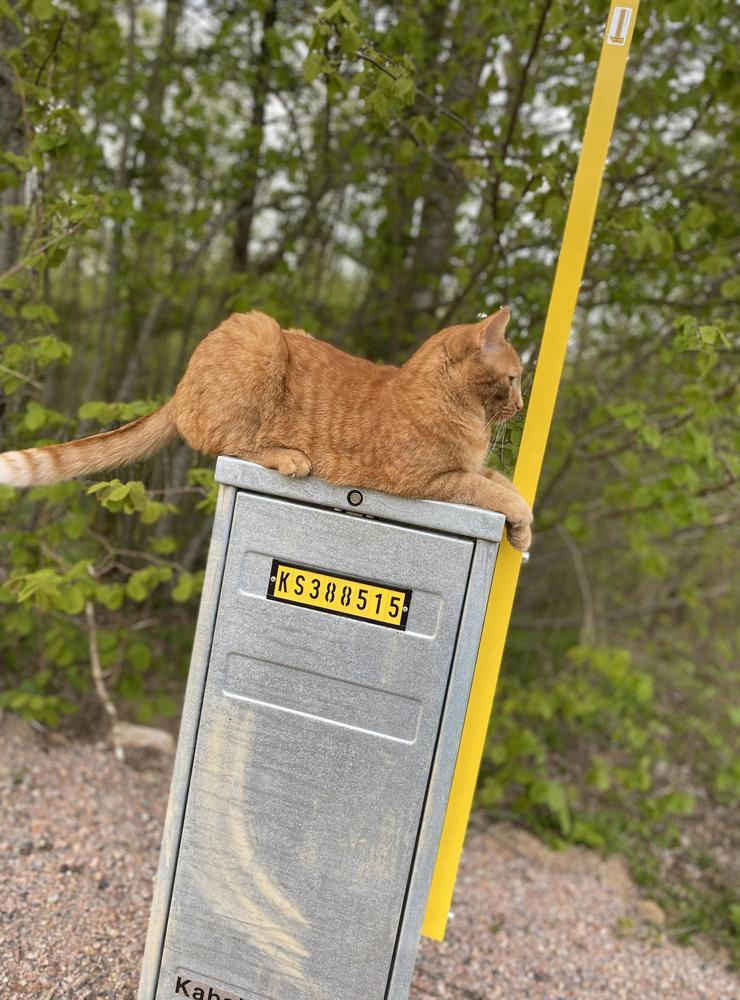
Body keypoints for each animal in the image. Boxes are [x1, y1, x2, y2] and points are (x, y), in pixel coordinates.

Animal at [0, 308, 532, 552]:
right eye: (512, 379)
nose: (523, 404)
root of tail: (181, 386)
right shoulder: (428, 482)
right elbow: (489, 491)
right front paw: (522, 518)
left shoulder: (467, 470)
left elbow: (500, 481)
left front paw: (522, 533)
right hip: (264, 340)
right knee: (234, 444)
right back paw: (290, 457)